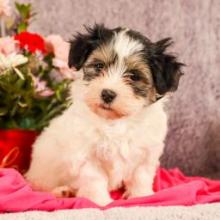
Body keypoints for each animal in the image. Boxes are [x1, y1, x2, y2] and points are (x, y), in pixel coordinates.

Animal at [26, 24, 184, 206]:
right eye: (99, 66)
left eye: (134, 76)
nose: (107, 94)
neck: (115, 121)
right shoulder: (87, 154)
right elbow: (94, 179)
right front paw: (99, 201)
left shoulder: (146, 152)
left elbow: (141, 176)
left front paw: (141, 196)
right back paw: (63, 191)